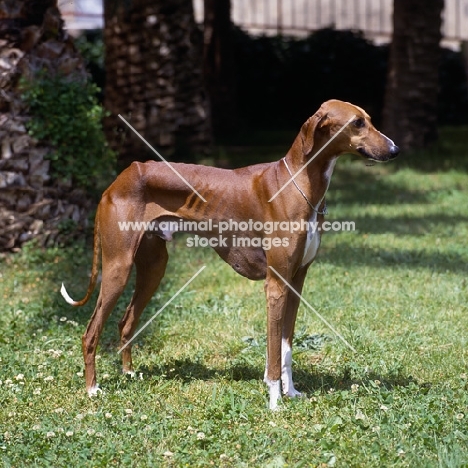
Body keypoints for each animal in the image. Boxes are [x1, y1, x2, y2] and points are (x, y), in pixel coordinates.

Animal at [61, 99, 398, 410]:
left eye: (368, 119)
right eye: (357, 123)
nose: (395, 150)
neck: (297, 183)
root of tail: (119, 179)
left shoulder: (296, 282)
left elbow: (286, 346)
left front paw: (290, 392)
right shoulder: (275, 286)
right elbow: (273, 353)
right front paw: (275, 402)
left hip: (153, 269)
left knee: (125, 322)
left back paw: (129, 374)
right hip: (118, 268)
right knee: (90, 332)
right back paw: (93, 389)